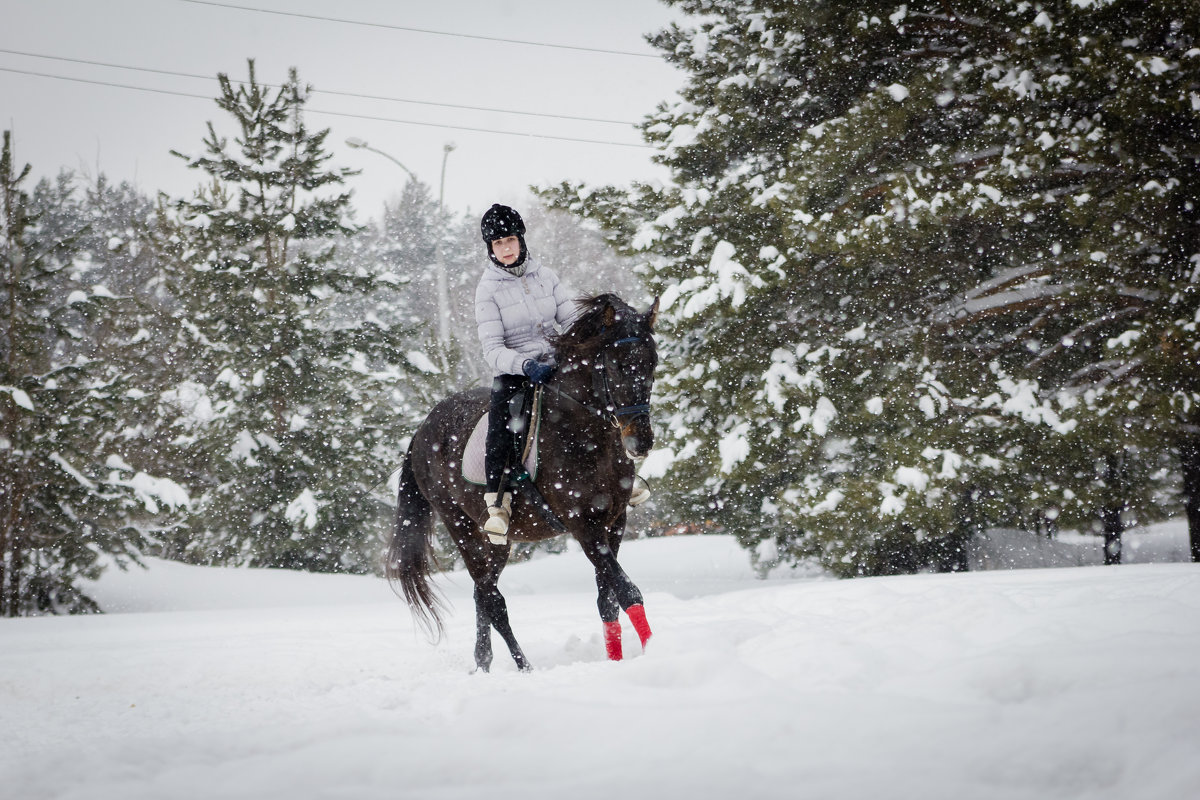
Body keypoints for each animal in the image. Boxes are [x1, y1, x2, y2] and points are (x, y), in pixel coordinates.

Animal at [388, 293, 662, 671]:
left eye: (652, 363)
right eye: (617, 365)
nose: (641, 442)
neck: (585, 433)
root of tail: (423, 428)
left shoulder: (614, 522)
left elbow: (607, 599)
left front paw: (616, 661)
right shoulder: (583, 526)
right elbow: (626, 590)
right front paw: (658, 652)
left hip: (497, 541)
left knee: (482, 594)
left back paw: (484, 664)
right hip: (460, 526)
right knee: (492, 599)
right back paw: (525, 668)